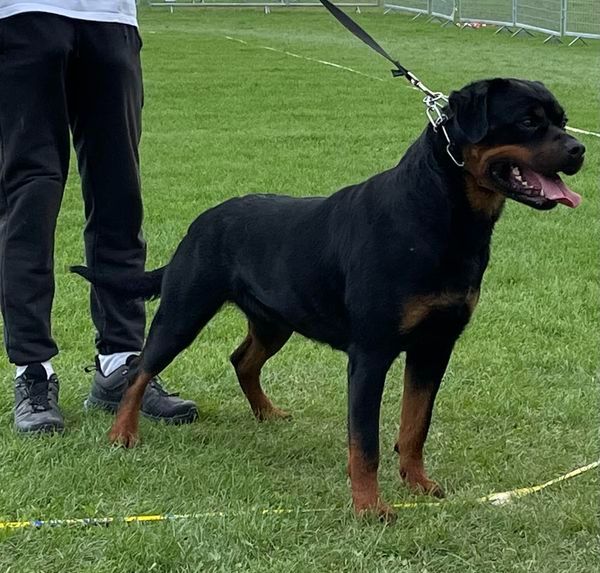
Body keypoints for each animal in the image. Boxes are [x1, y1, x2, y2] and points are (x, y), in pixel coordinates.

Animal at [71, 77, 584, 520]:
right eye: (529, 121)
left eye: (562, 119)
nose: (579, 149)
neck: (440, 211)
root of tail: (201, 221)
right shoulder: (371, 353)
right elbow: (366, 442)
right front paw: (370, 508)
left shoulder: (435, 346)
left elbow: (415, 425)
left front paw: (418, 484)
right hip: (185, 309)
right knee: (141, 369)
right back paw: (122, 434)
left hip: (274, 320)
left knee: (242, 359)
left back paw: (267, 412)